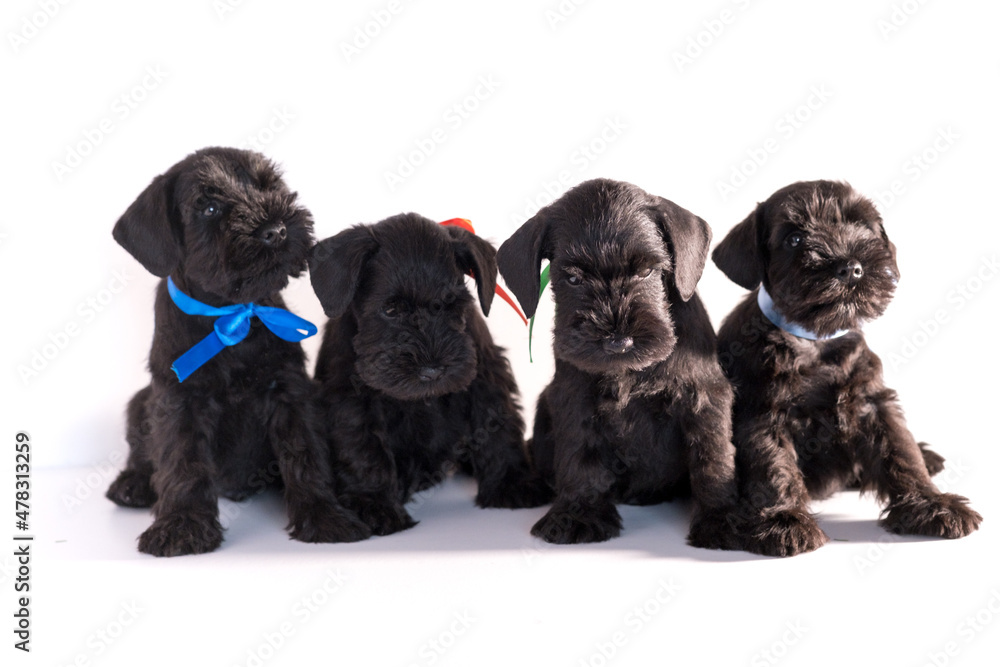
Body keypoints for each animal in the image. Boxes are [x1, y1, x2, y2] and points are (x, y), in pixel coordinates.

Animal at [106, 147, 372, 560]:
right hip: (140, 402)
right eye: (210, 207)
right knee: (140, 453)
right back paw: (132, 484)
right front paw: (181, 525)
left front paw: (324, 516)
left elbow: (305, 453)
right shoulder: (180, 399)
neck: (232, 314)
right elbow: (182, 462)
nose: (276, 229)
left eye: (269, 186)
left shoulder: (290, 393)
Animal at [308, 214, 552, 536]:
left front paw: (513, 483)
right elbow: (363, 448)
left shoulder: (485, 378)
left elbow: (498, 429)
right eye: (390, 310)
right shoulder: (350, 399)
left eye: (452, 306)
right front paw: (372, 504)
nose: (432, 371)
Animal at [498, 179, 744, 548]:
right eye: (573, 279)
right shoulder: (575, 399)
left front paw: (721, 520)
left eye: (646, 271)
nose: (618, 341)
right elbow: (580, 456)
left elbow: (712, 457)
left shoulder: (704, 397)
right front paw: (577, 516)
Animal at [716, 180, 980, 556]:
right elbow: (773, 468)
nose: (850, 267)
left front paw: (934, 505)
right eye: (794, 238)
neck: (816, 340)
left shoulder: (872, 402)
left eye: (863, 227)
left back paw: (928, 455)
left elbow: (901, 452)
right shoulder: (763, 414)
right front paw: (784, 520)